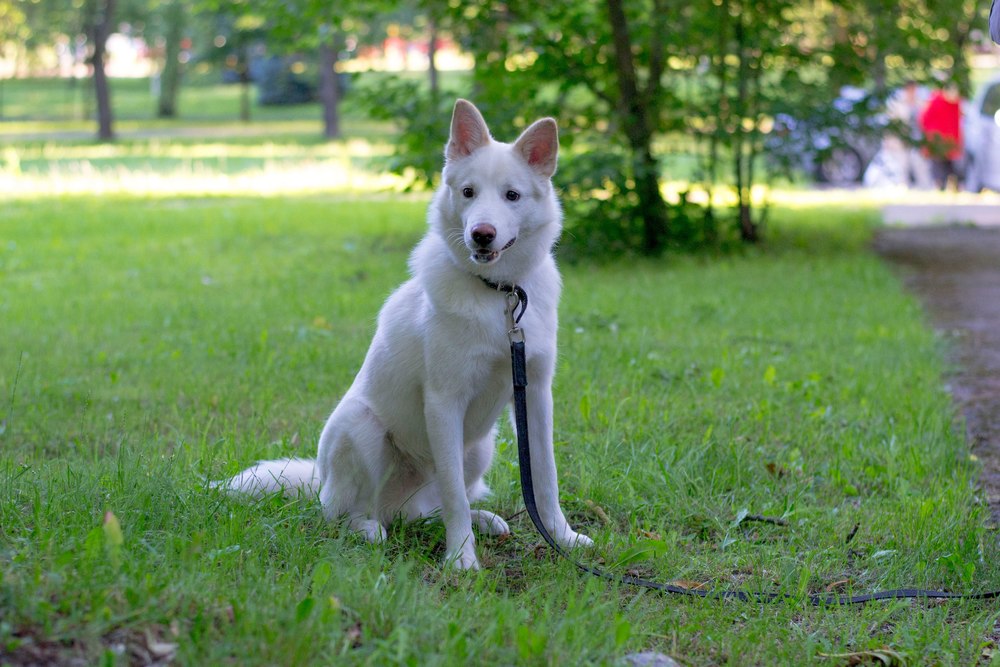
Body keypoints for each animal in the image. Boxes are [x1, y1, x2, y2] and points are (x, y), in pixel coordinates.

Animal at [219, 99, 588, 568]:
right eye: (468, 192)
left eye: (512, 195)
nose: (481, 234)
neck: (498, 294)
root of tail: (320, 481)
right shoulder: (444, 403)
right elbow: (455, 497)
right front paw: (461, 560)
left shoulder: (536, 395)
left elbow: (544, 478)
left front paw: (563, 538)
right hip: (363, 429)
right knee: (345, 514)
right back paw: (368, 529)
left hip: (480, 446)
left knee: (428, 510)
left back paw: (482, 520)